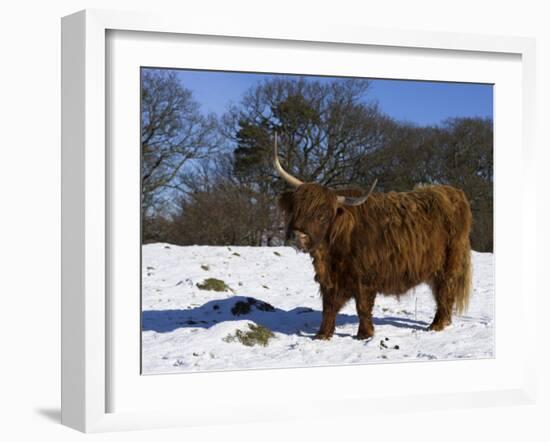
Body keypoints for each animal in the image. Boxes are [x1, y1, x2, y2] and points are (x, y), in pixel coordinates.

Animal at [276, 135, 474, 338]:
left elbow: (362, 306)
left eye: (322, 215)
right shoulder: (331, 280)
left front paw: (364, 334)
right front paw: (322, 335)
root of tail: (453, 193)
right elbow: (329, 307)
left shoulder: (364, 278)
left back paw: (437, 325)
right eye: (296, 208)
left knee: (444, 293)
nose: (297, 235)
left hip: (448, 265)